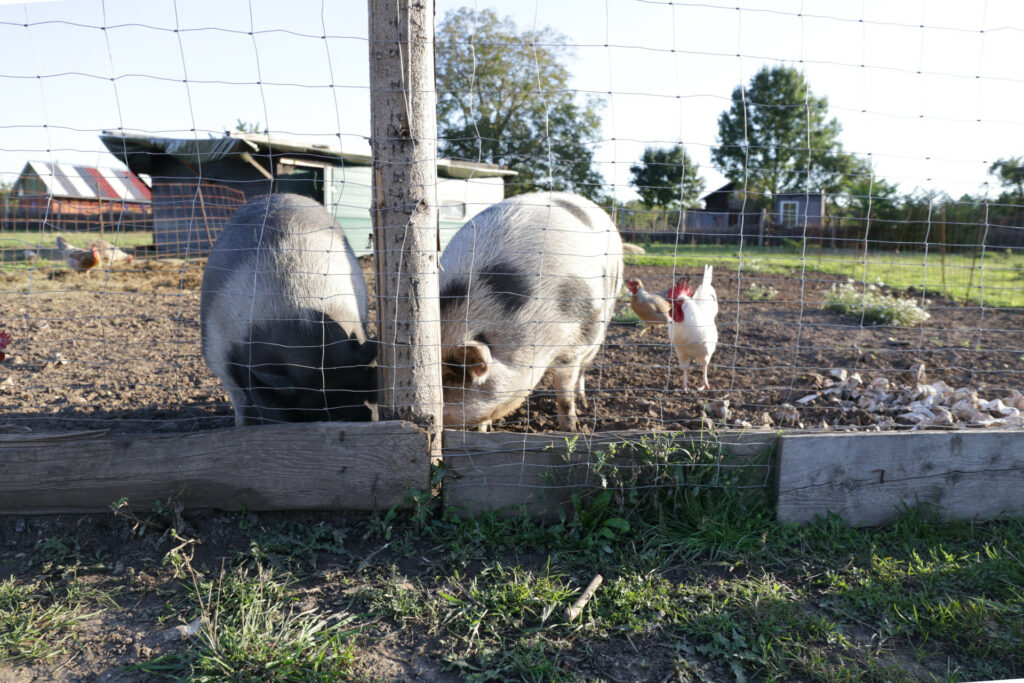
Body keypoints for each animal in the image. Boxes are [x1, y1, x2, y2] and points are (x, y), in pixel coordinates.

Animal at [439, 192, 623, 432]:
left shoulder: (572, 346)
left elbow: (564, 395)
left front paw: (572, 430)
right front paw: (484, 429)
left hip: (604, 316)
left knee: (585, 366)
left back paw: (583, 400)